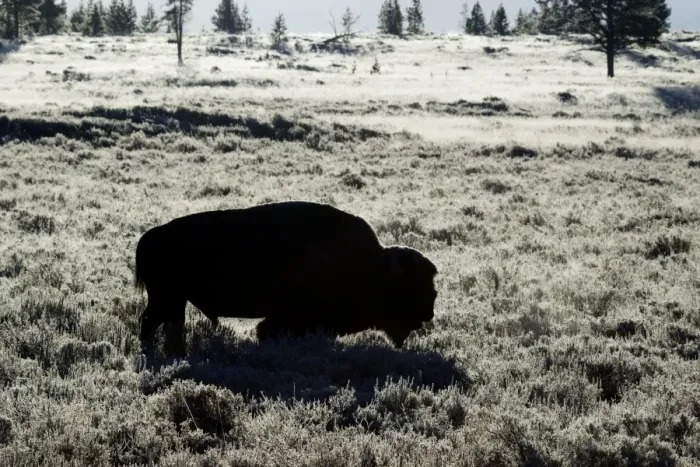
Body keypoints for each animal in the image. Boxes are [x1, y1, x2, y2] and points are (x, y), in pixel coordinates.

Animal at [135, 201, 438, 356]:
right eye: (410, 286)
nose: (429, 313)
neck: (372, 265)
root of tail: (150, 237)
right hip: (167, 298)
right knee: (151, 322)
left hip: (175, 301)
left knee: (168, 324)